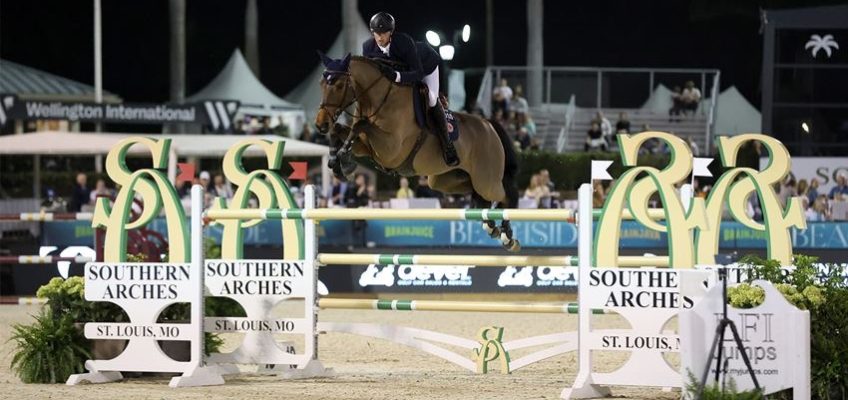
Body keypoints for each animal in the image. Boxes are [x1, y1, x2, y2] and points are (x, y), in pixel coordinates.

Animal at [314, 52, 520, 250]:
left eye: (339, 85)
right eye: (322, 84)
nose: (320, 124)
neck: (378, 102)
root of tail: (489, 125)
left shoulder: (391, 149)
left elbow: (360, 126)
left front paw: (343, 159)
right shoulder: (368, 147)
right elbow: (342, 130)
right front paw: (338, 163)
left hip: (486, 180)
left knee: (505, 195)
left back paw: (507, 235)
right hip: (445, 180)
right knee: (479, 196)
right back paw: (491, 225)